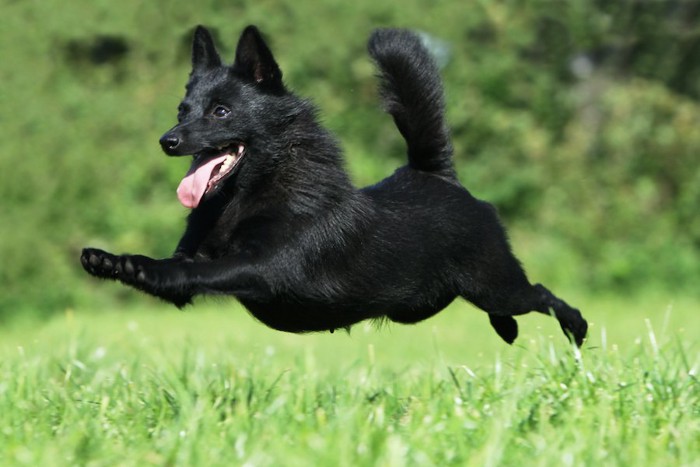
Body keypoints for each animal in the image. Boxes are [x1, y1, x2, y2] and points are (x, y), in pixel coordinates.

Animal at [80, 26, 592, 348]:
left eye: (221, 111)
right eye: (182, 110)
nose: (167, 141)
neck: (247, 195)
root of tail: (436, 176)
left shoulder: (263, 268)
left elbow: (195, 272)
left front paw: (138, 265)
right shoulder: (199, 259)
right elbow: (178, 268)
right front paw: (113, 261)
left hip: (496, 283)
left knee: (541, 294)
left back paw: (577, 327)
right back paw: (508, 329)